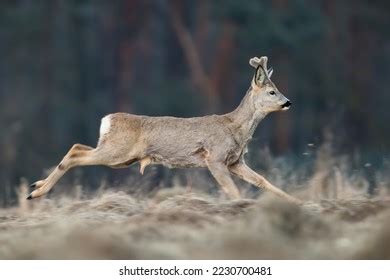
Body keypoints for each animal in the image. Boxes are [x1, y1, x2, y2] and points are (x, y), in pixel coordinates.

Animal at [27, 55, 302, 203]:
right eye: (272, 91)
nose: (289, 102)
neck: (235, 128)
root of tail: (108, 119)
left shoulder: (235, 161)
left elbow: (262, 180)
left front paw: (296, 201)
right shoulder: (214, 158)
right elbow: (232, 189)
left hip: (118, 155)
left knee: (78, 146)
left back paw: (37, 185)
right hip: (117, 153)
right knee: (76, 153)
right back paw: (37, 193)